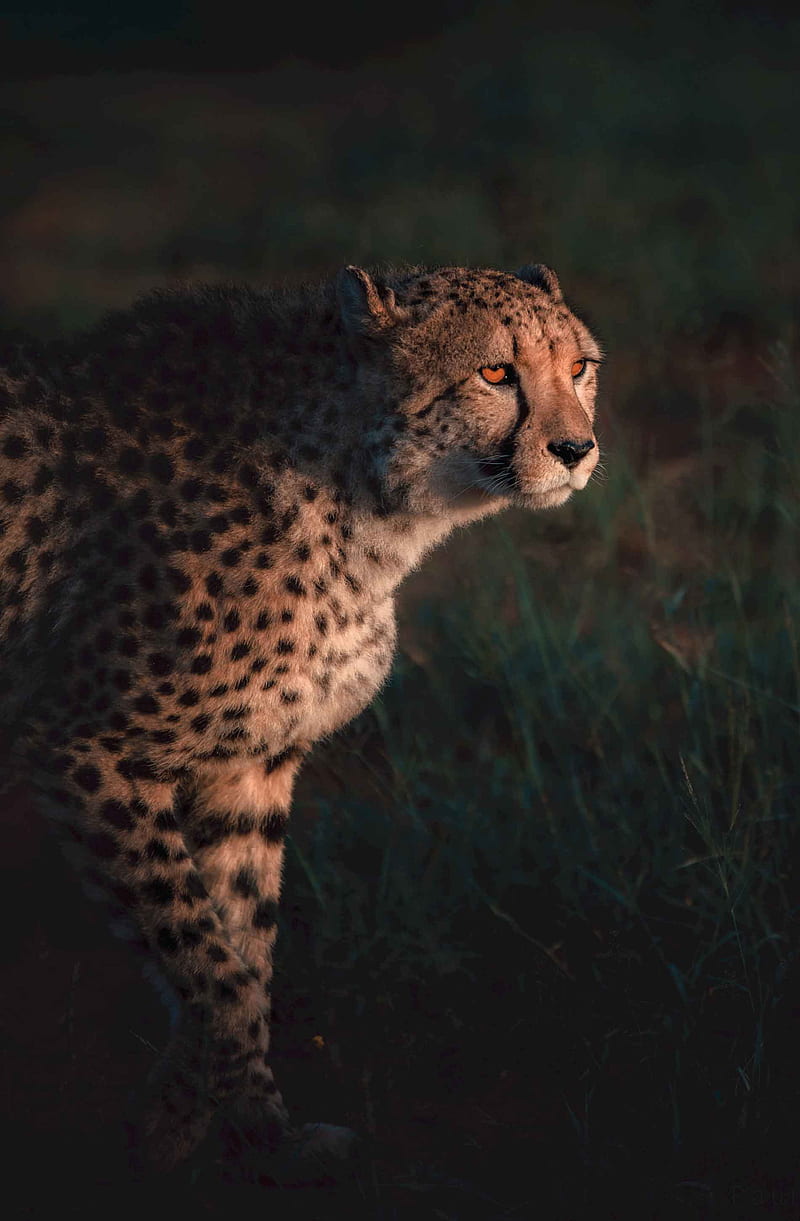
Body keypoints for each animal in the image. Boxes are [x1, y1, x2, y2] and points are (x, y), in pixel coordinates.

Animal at [0, 261, 601, 1178]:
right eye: (497, 373)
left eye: (579, 368)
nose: (576, 449)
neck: (365, 496)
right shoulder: (83, 745)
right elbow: (206, 959)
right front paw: (210, 1128)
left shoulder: (247, 765)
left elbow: (240, 951)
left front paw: (234, 1130)